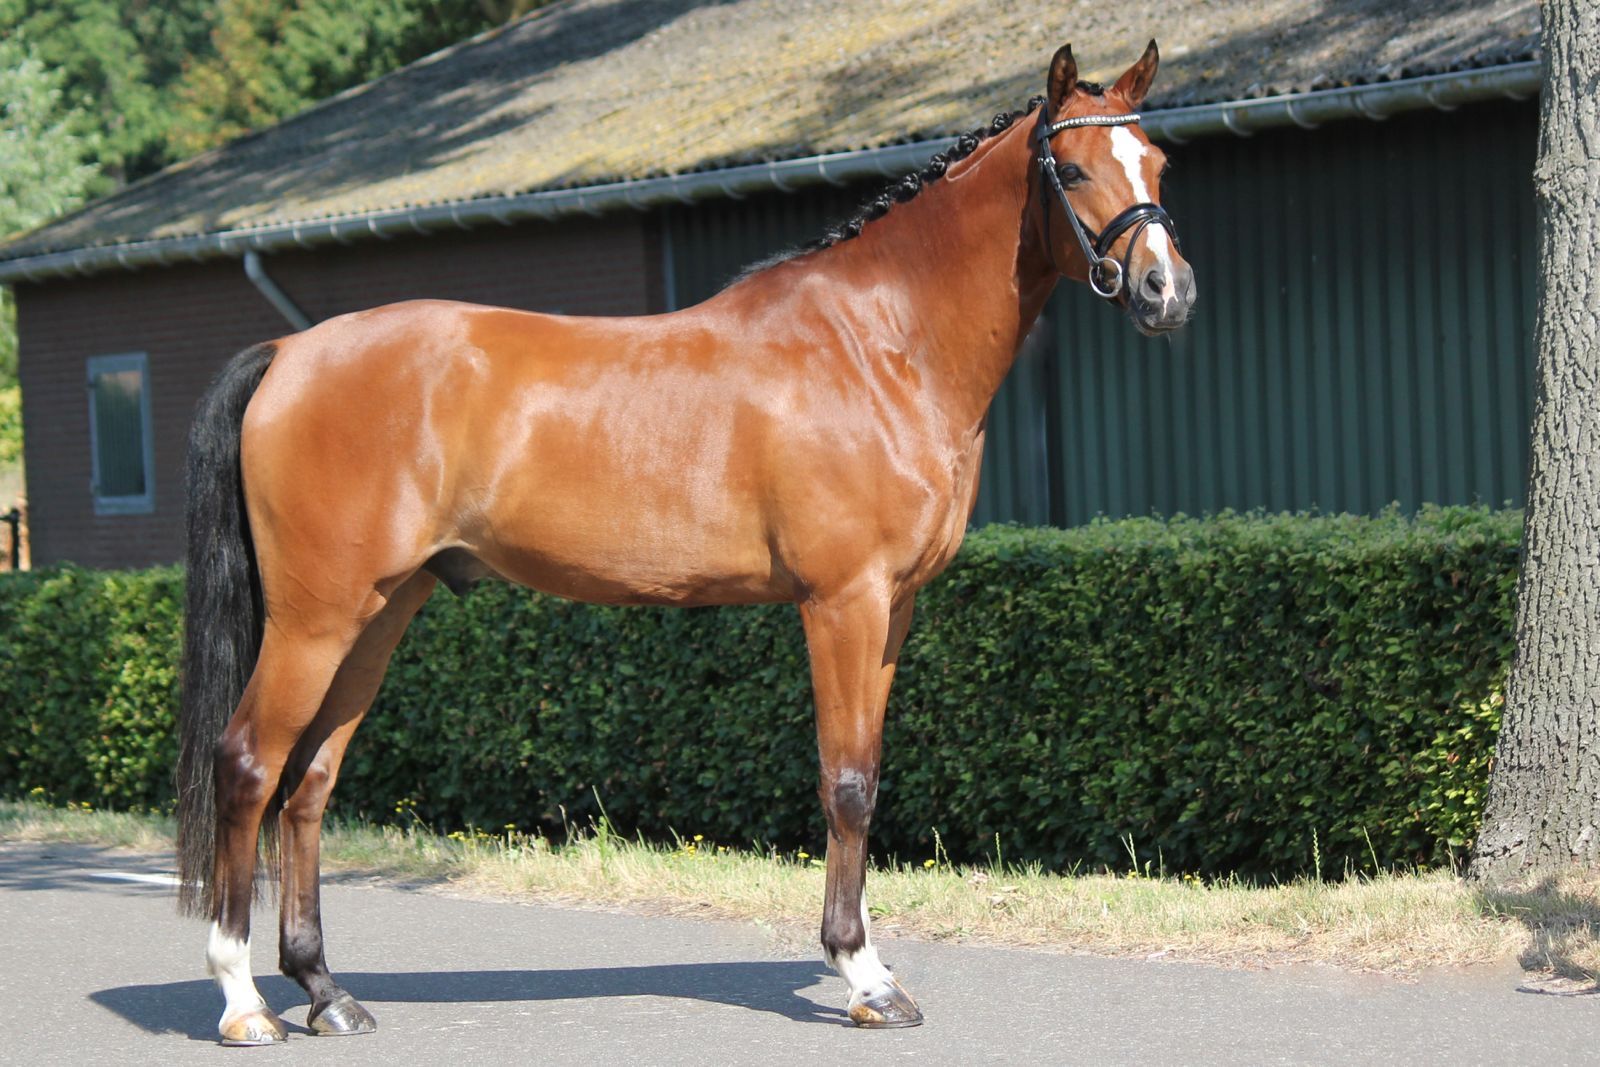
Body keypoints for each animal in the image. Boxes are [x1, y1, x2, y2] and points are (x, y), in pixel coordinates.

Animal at [174, 40, 1195, 1044]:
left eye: (1156, 162)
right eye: (1071, 167)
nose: (1167, 290)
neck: (878, 344)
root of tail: (289, 353)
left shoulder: (894, 608)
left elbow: (868, 773)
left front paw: (871, 963)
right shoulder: (843, 602)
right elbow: (846, 782)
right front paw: (863, 976)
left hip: (380, 612)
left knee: (309, 781)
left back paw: (326, 992)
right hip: (315, 619)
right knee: (248, 765)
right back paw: (244, 1001)